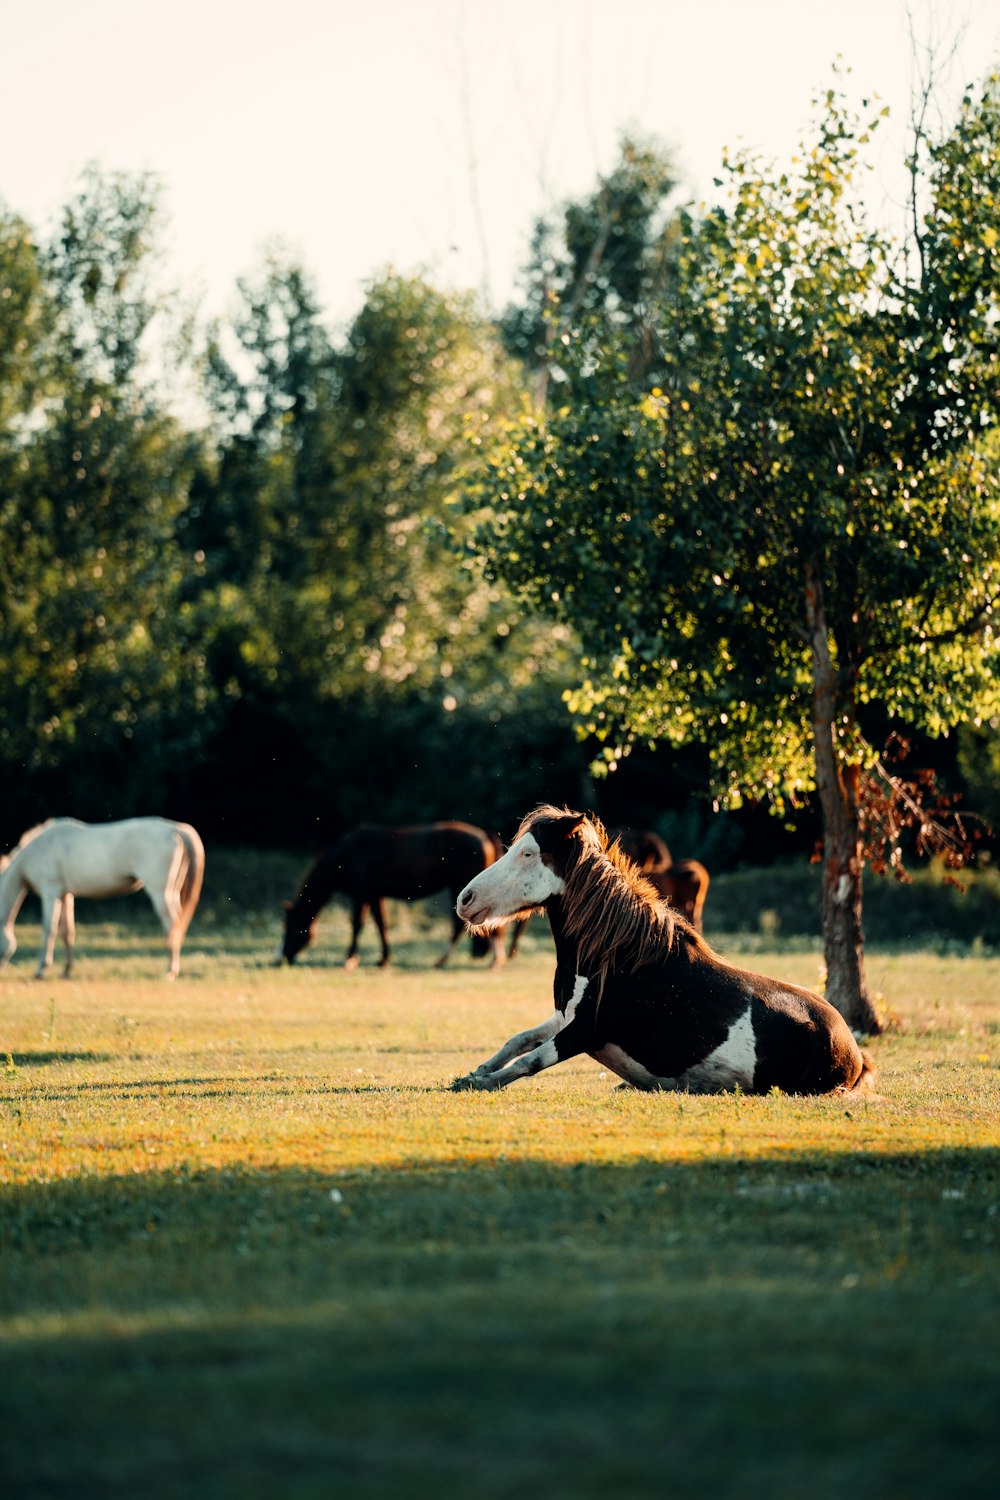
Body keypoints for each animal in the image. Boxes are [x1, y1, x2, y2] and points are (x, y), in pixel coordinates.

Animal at [0, 816, 205, 978]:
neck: (37, 850)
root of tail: (174, 828)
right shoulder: (65, 895)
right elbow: (67, 932)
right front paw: (66, 970)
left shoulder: (51, 893)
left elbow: (48, 930)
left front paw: (41, 969)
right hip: (172, 891)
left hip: (159, 891)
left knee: (171, 924)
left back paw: (170, 970)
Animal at [275, 822, 503, 972]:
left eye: (291, 928)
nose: (279, 959)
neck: (347, 853)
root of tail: (484, 835)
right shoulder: (375, 896)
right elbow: (381, 925)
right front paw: (383, 960)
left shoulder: (361, 893)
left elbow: (357, 925)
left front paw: (350, 959)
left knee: (460, 927)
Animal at [452, 804, 875, 1098]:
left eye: (527, 854)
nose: (465, 899)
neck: (616, 957)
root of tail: (855, 1051)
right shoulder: (565, 1017)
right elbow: (519, 1040)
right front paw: (477, 1071)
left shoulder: (585, 1031)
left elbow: (531, 1059)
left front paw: (477, 1082)